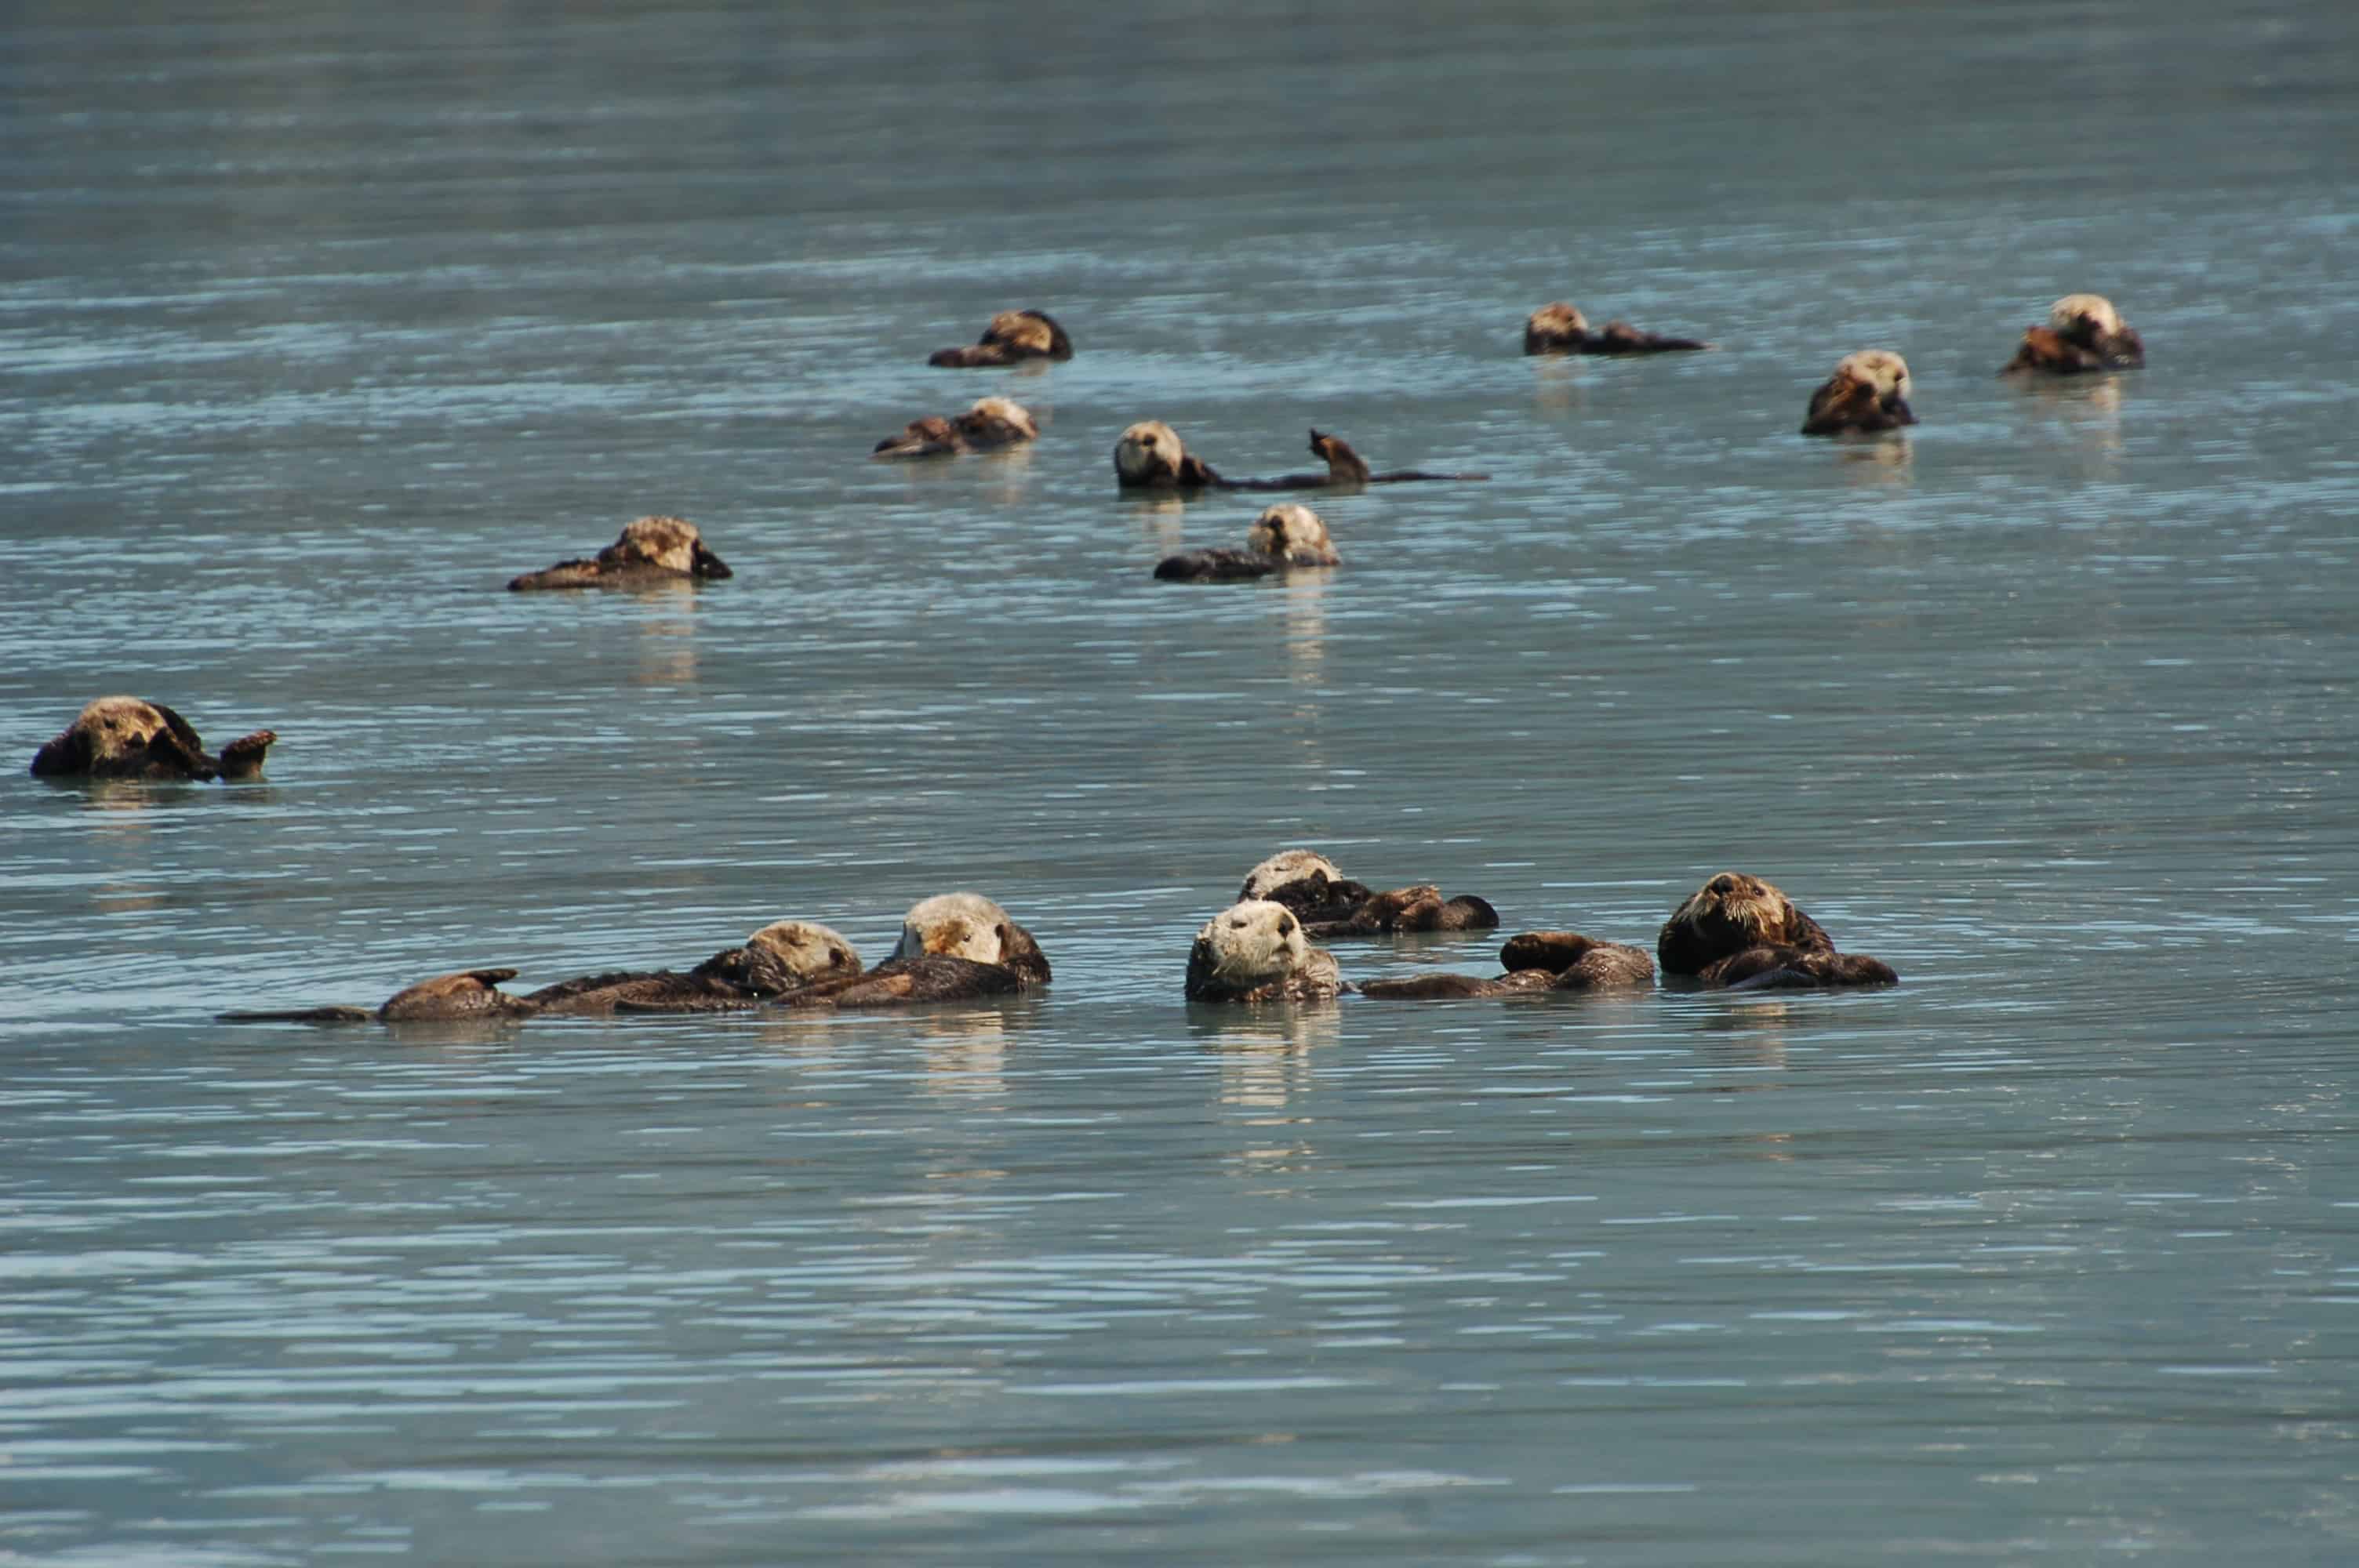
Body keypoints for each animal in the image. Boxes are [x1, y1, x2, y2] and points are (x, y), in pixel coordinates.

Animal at [871, 397, 1039, 460]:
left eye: (981, 411)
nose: (976, 411)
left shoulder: (1007, 429)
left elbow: (993, 427)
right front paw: (958, 419)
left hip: (938, 446)